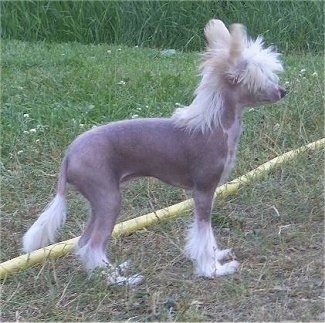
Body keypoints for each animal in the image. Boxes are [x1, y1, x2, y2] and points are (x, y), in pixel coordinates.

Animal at [22, 19, 284, 284]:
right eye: (261, 78)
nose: (283, 91)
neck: (213, 125)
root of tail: (69, 154)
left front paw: (215, 256)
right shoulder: (203, 192)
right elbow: (203, 233)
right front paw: (211, 269)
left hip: (98, 201)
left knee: (84, 242)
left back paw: (111, 272)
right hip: (108, 199)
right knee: (93, 244)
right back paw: (119, 281)